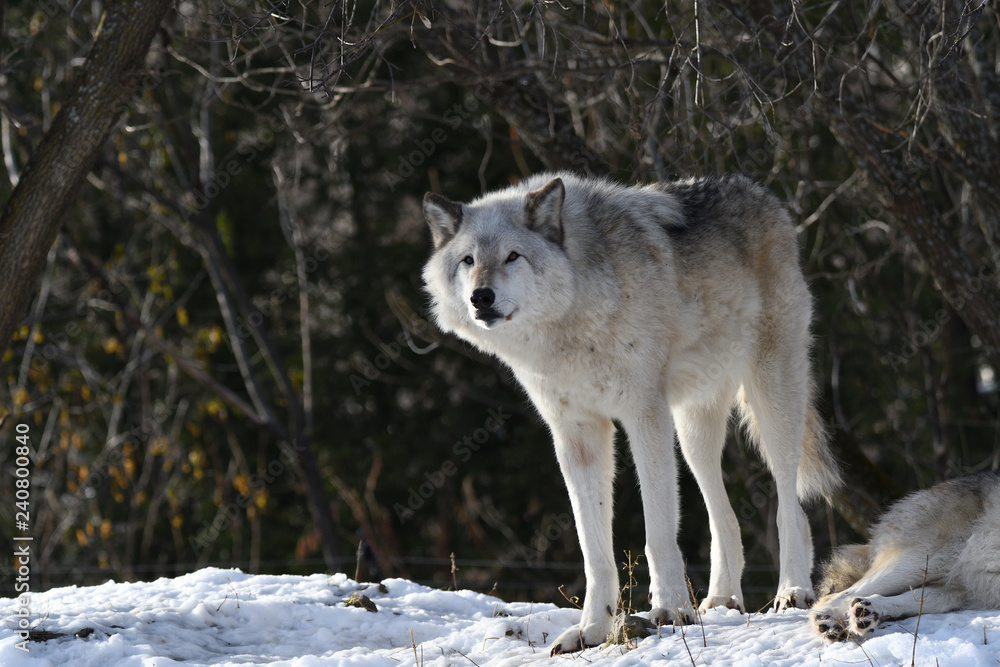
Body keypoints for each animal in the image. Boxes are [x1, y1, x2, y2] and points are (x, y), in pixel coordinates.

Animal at [421, 172, 841, 655]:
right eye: (468, 260)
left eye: (512, 256)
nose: (481, 297)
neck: (574, 312)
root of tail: (758, 190)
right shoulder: (577, 435)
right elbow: (594, 550)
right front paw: (592, 629)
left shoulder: (645, 415)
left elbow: (657, 531)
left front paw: (671, 610)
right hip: (694, 431)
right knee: (725, 517)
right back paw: (721, 600)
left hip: (772, 398)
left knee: (791, 503)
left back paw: (792, 590)